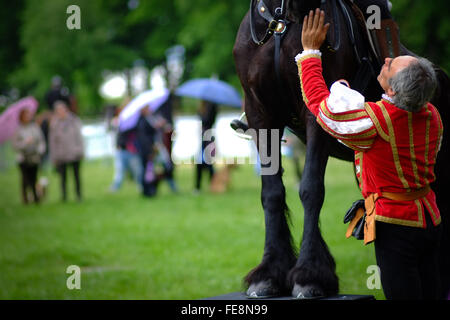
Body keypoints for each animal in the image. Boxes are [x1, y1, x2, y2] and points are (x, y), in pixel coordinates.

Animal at [234, 0, 448, 298]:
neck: (282, 23)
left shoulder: (316, 115)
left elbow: (311, 189)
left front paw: (309, 276)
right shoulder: (260, 114)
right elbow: (272, 193)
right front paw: (268, 274)